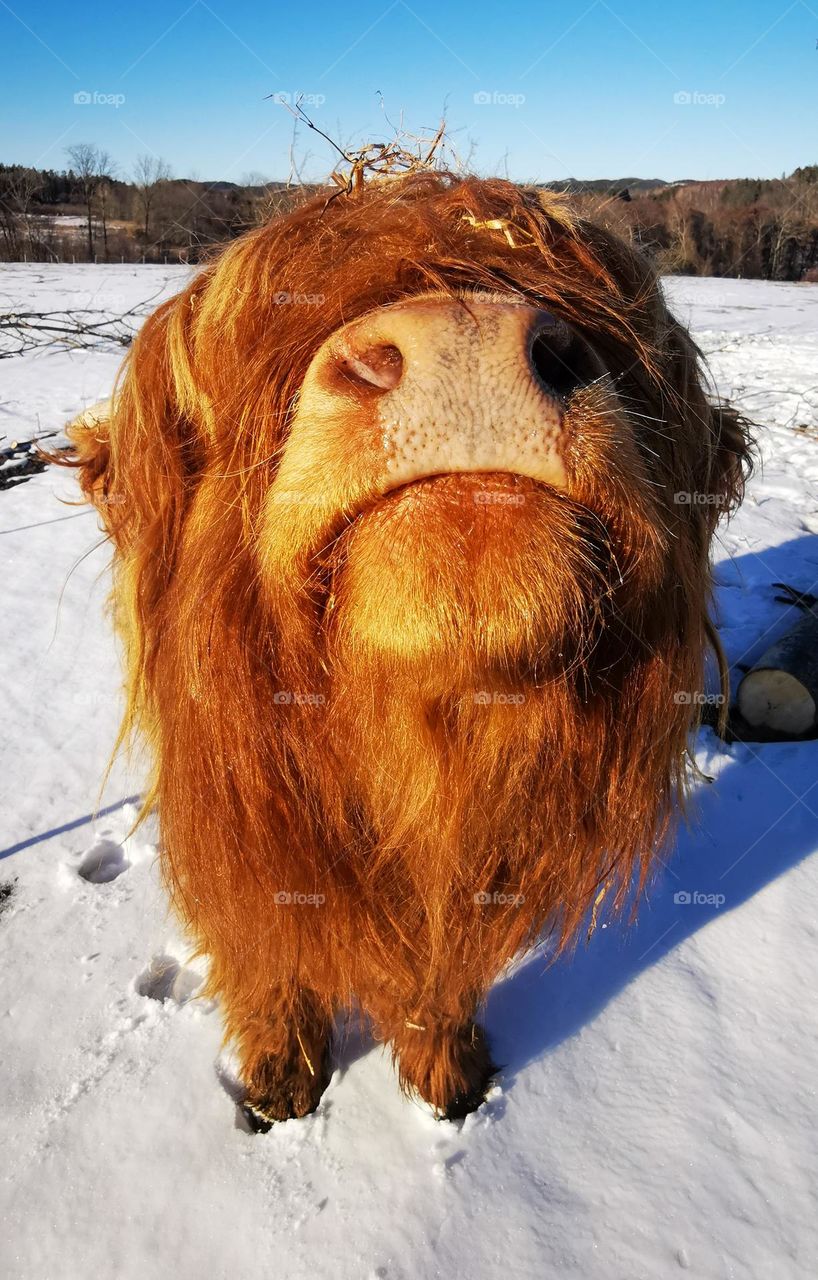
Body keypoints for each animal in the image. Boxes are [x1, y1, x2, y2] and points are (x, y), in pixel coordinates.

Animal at [67, 172, 752, 1131]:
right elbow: (270, 958)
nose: (462, 337)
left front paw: (450, 1081)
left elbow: (441, 978)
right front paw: (280, 1086)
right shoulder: (247, 853)